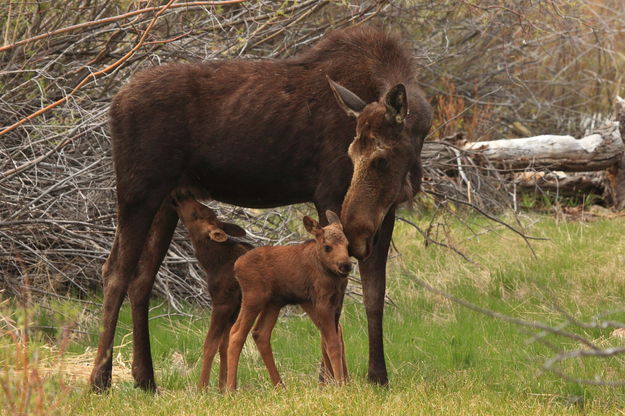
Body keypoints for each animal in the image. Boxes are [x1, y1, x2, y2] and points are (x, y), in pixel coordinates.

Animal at [171, 190, 251, 388]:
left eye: (195, 214)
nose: (181, 194)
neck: (212, 262)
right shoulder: (234, 308)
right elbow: (224, 344)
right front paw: (223, 386)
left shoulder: (222, 303)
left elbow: (210, 344)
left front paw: (202, 387)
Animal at [225, 210, 354, 392]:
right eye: (327, 246)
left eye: (347, 244)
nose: (346, 265)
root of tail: (236, 266)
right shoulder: (321, 303)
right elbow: (333, 343)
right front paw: (341, 385)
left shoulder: (334, 304)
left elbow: (336, 339)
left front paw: (344, 382)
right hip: (253, 298)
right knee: (237, 333)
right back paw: (230, 389)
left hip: (273, 303)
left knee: (260, 333)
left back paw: (279, 385)